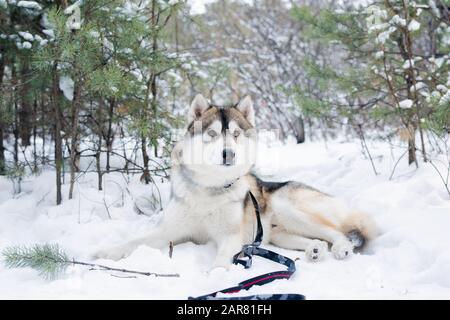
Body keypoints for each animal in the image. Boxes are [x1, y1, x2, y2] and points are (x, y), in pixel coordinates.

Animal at [96, 94, 378, 268]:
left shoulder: (230, 239)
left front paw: (216, 279)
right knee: (317, 239)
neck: (209, 191)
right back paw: (315, 250)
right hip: (278, 235)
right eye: (211, 134)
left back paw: (341, 248)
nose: (228, 153)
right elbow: (135, 242)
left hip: (289, 208)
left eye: (235, 134)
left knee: (337, 232)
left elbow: (221, 262)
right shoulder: (170, 232)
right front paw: (107, 252)